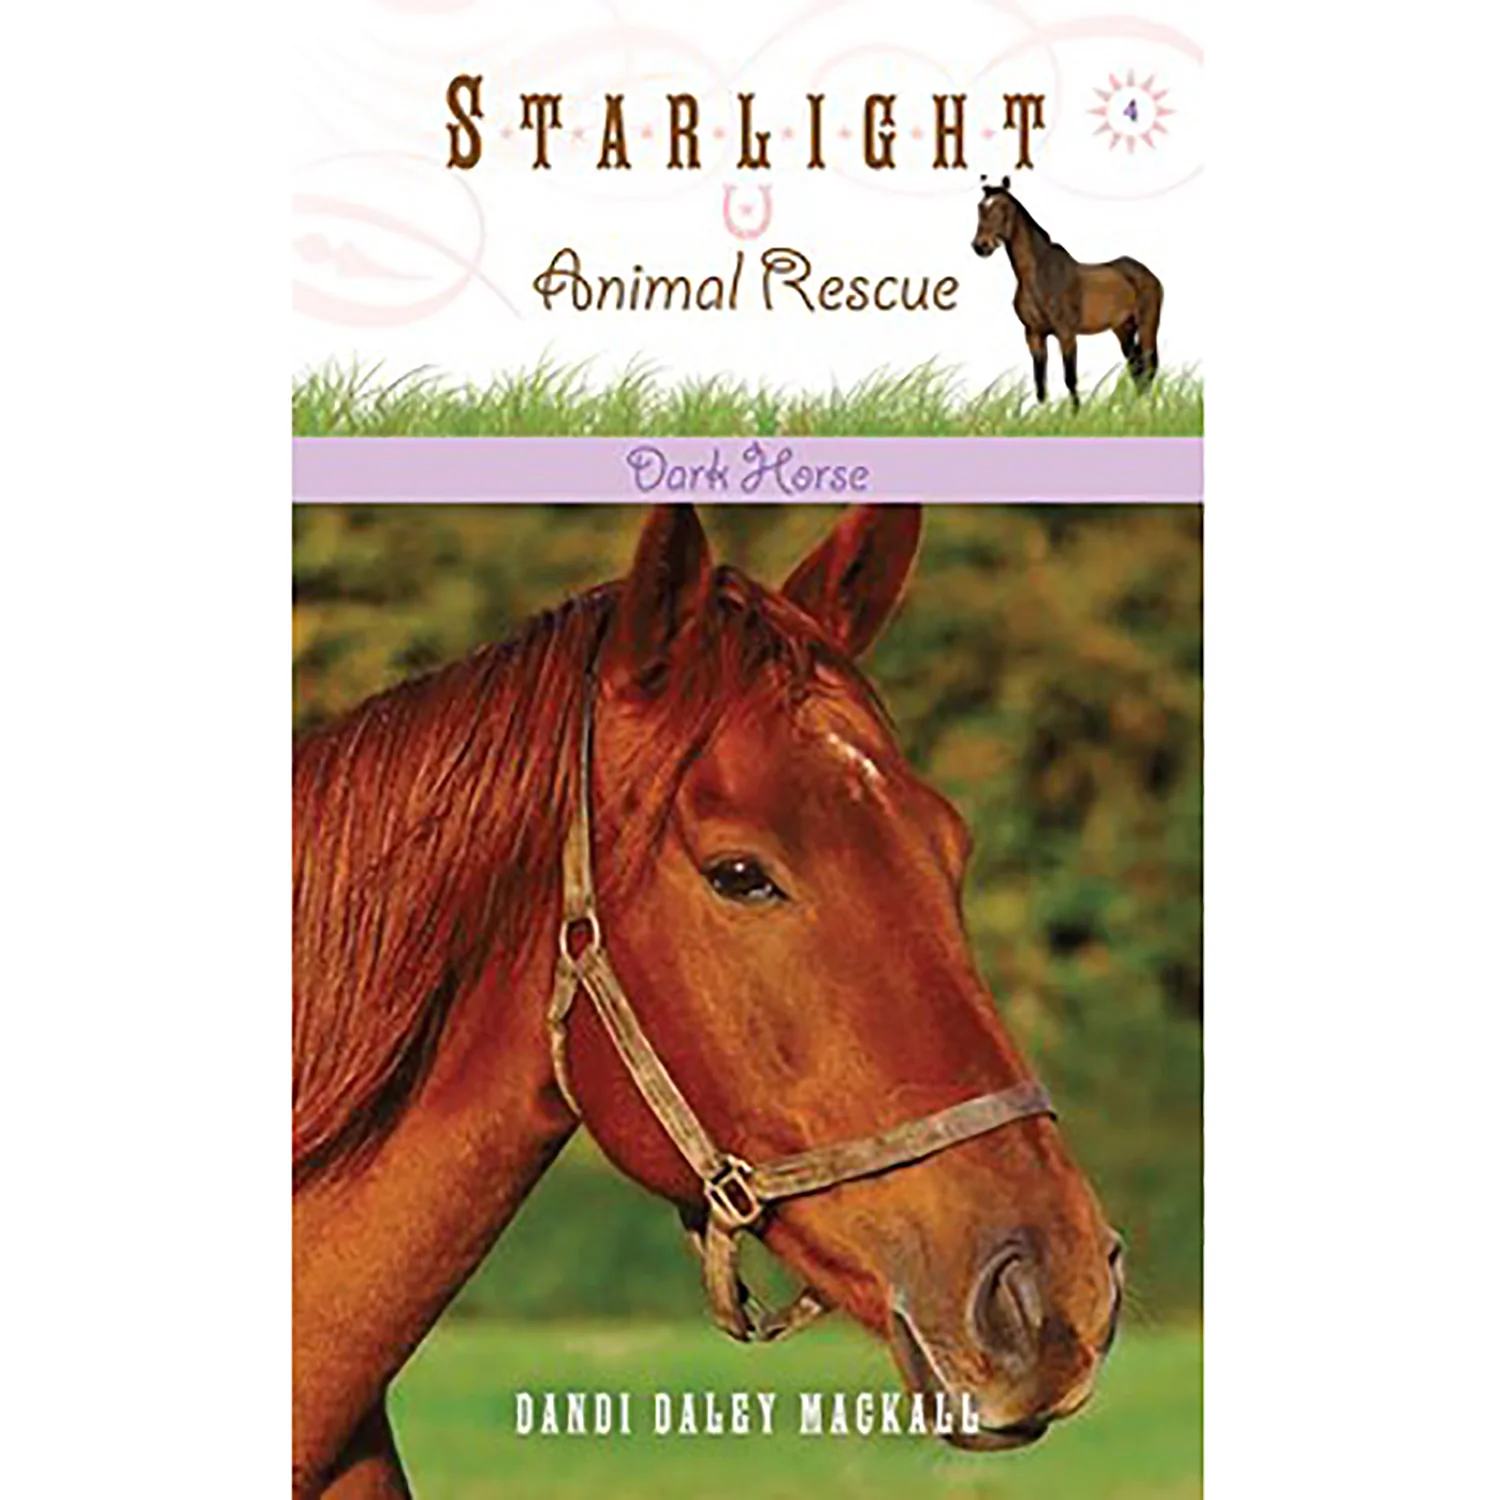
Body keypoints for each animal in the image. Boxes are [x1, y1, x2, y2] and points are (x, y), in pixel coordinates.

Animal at [971, 176, 1164, 407]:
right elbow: (1040, 383)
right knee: (1136, 366)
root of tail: (1147, 273)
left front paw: (1076, 413)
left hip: (1147, 325)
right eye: (980, 207)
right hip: (1123, 328)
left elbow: (1070, 378)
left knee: (1149, 365)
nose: (981, 246)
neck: (1039, 275)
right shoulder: (1033, 334)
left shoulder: (1066, 334)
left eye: (1003, 207)